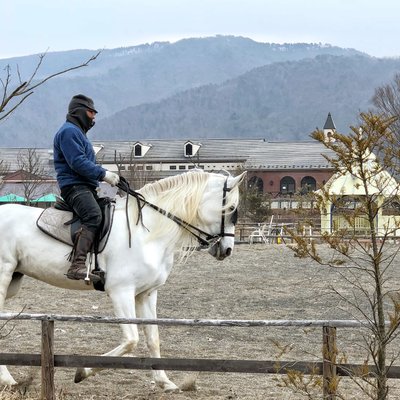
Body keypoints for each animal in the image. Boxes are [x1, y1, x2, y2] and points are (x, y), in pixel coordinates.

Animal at [0, 169, 245, 390]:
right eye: (232, 209)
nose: (227, 250)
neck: (147, 233)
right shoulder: (121, 292)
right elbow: (131, 340)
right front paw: (82, 371)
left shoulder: (147, 294)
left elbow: (153, 338)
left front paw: (165, 382)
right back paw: (8, 380)